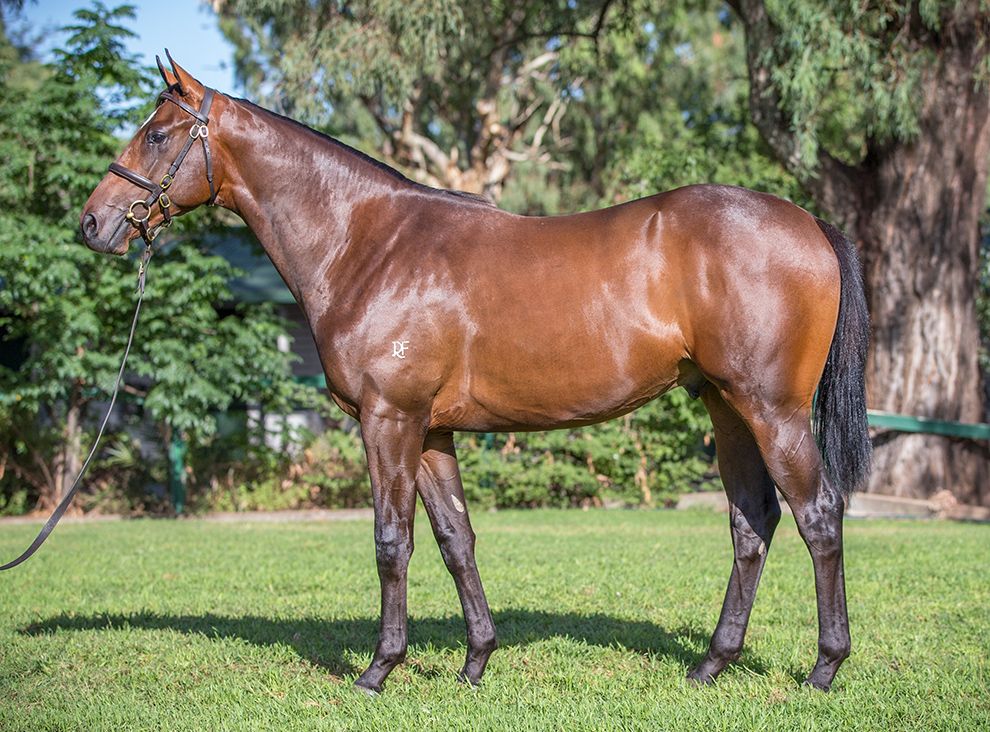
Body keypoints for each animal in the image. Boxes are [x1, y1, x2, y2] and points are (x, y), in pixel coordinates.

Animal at [80, 54, 870, 694]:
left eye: (157, 134)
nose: (92, 223)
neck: (369, 243)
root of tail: (810, 223)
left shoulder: (388, 420)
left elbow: (390, 541)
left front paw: (378, 670)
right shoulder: (430, 433)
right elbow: (455, 540)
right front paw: (476, 662)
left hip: (772, 410)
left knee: (818, 515)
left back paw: (824, 668)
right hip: (726, 407)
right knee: (752, 522)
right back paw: (711, 663)